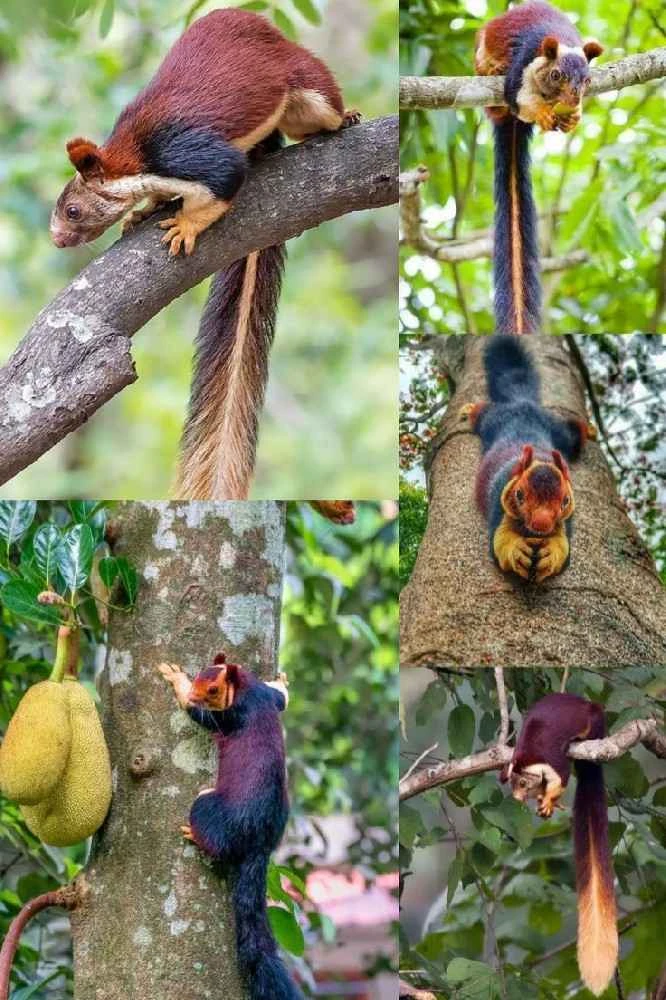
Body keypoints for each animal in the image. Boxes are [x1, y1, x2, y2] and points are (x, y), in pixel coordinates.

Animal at [50, 8, 359, 501]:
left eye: (73, 210)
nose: (57, 239)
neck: (134, 159)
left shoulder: (184, 153)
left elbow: (225, 178)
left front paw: (184, 225)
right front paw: (142, 213)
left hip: (304, 81)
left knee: (319, 110)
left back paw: (344, 116)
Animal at [157, 653, 302, 1000]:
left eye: (212, 689)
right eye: (200, 674)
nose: (195, 693)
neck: (245, 689)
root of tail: (260, 843)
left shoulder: (232, 716)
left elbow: (200, 718)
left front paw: (177, 682)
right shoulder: (267, 697)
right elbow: (282, 699)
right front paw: (283, 681)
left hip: (211, 810)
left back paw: (194, 835)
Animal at [459, 336, 595, 583]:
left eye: (565, 501)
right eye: (519, 495)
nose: (541, 523)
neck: (541, 461)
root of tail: (523, 404)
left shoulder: (567, 518)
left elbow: (564, 547)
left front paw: (550, 554)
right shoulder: (499, 499)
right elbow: (499, 540)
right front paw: (517, 551)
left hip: (558, 431)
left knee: (573, 433)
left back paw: (589, 429)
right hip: (494, 420)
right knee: (483, 413)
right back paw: (470, 409)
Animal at [475, 2, 603, 334]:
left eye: (587, 81)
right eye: (556, 75)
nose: (573, 97)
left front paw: (574, 117)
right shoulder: (523, 65)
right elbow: (518, 98)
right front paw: (543, 113)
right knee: (496, 96)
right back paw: (490, 69)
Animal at [501, 692, 618, 996]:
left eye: (523, 784)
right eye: (514, 786)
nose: (518, 799)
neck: (528, 757)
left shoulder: (553, 761)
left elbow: (562, 778)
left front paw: (549, 801)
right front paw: (546, 803)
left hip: (596, 719)